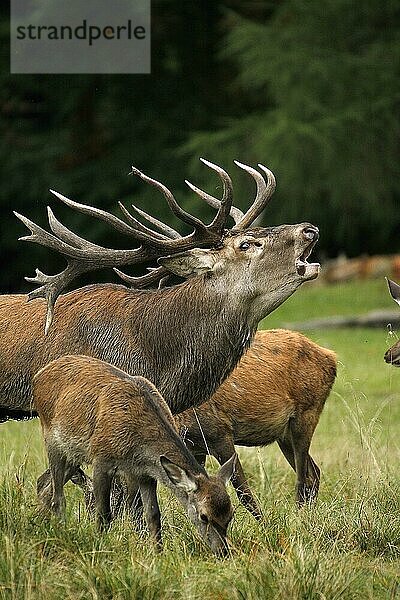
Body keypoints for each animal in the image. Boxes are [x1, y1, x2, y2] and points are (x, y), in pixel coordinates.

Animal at [34, 354, 236, 556]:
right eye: (204, 516)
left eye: (231, 514)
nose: (223, 551)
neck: (137, 449)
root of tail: (38, 375)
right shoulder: (101, 459)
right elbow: (104, 513)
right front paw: (99, 547)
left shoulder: (146, 473)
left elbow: (153, 515)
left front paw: (158, 553)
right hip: (51, 439)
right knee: (57, 497)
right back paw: (60, 531)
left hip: (73, 454)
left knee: (45, 485)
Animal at [176, 328, 338, 516]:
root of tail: (332, 357)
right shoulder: (196, 448)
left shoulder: (220, 432)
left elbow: (243, 491)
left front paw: (265, 522)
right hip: (285, 434)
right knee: (314, 472)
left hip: (307, 413)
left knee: (303, 477)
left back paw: (298, 516)